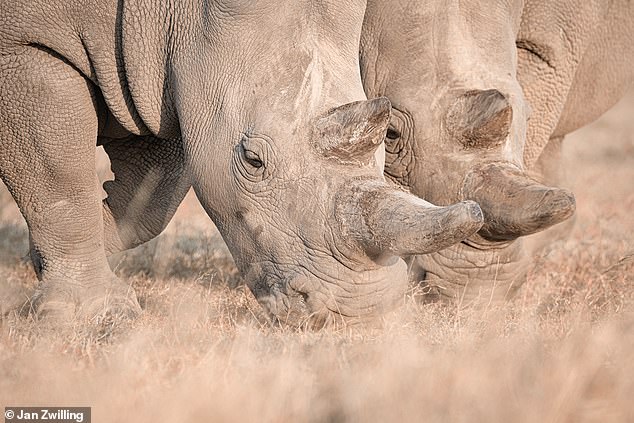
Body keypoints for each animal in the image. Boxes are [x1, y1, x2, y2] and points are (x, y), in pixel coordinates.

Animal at [0, 0, 484, 328]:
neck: (173, 12)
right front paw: (95, 315)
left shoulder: (162, 74)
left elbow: (150, 199)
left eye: (388, 141)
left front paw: (46, 254)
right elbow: (60, 180)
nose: (360, 312)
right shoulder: (21, 45)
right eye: (253, 160)